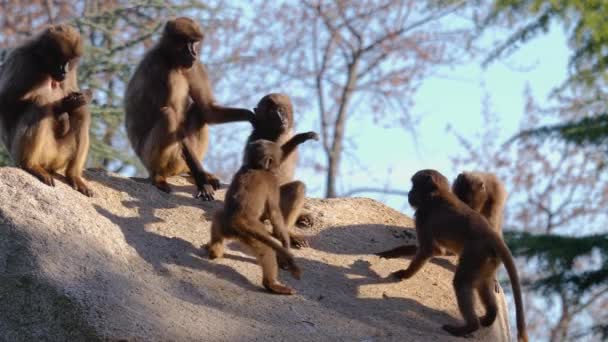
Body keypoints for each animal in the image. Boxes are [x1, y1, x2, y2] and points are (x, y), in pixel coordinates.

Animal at [0, 24, 92, 196]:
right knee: (38, 104)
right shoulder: (21, 60)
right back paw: (31, 165)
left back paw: (73, 175)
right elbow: (7, 102)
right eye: (60, 60)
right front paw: (63, 108)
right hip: (31, 151)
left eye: (69, 61)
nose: (64, 72)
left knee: (81, 112)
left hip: (61, 155)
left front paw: (77, 100)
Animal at [124, 17, 253, 200]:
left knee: (199, 111)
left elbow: (207, 109)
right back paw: (159, 175)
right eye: (187, 42)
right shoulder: (163, 72)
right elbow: (177, 122)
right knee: (168, 115)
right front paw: (202, 181)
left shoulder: (194, 66)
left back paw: (193, 173)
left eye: (195, 43)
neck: (170, 59)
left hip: (179, 162)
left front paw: (251, 115)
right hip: (151, 156)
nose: (194, 53)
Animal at [205, 131, 318, 294]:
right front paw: (285, 245)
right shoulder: (270, 181)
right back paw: (272, 284)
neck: (254, 167)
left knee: (217, 219)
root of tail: (235, 221)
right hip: (253, 232)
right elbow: (275, 212)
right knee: (267, 249)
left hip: (224, 223)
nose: (275, 169)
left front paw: (302, 137)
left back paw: (214, 251)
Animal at [247, 93, 316, 246]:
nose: (281, 118)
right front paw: (299, 138)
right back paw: (286, 233)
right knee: (298, 187)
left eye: (281, 110)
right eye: (272, 112)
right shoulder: (259, 138)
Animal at [390, 170, 528, 340]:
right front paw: (397, 252)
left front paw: (404, 274)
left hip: (475, 252)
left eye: (415, 186)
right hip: (489, 258)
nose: (409, 193)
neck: (437, 194)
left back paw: (469, 326)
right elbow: (438, 251)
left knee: (461, 282)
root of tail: (491, 235)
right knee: (482, 283)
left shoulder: (422, 215)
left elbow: (431, 250)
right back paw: (489, 316)